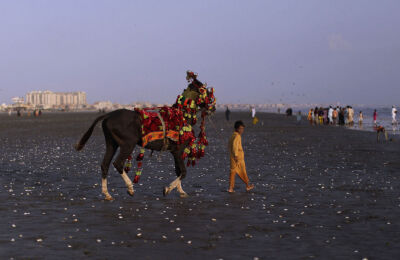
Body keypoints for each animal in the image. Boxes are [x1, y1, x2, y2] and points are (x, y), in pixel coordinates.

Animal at [73, 71, 214, 201]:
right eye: (206, 91)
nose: (212, 108)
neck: (181, 116)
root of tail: (109, 115)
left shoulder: (175, 152)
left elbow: (178, 171)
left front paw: (181, 191)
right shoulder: (178, 151)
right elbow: (183, 172)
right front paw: (167, 189)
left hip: (112, 143)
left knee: (105, 165)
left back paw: (107, 194)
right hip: (128, 144)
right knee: (118, 163)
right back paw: (130, 188)